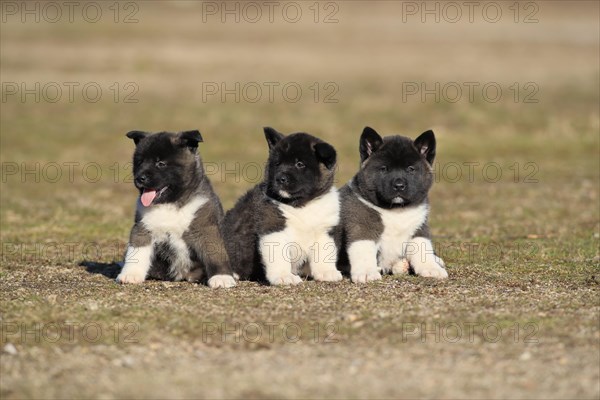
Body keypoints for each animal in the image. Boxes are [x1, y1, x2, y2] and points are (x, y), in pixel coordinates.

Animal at [115, 130, 237, 290]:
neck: (171, 203)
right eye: (139, 162)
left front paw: (222, 277)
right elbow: (136, 252)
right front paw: (130, 274)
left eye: (161, 163)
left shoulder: (206, 227)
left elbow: (215, 253)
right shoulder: (142, 227)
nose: (139, 178)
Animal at [223, 126, 342, 286]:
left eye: (300, 164)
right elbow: (279, 258)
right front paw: (284, 276)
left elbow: (324, 254)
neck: (301, 205)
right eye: (277, 164)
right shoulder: (273, 228)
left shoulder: (324, 231)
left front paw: (326, 272)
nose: (280, 179)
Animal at [340, 126, 448, 282]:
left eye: (410, 169)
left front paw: (431, 268)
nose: (399, 185)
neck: (396, 210)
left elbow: (423, 247)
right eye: (384, 168)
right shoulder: (362, 226)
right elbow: (363, 248)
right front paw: (366, 272)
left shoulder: (419, 227)